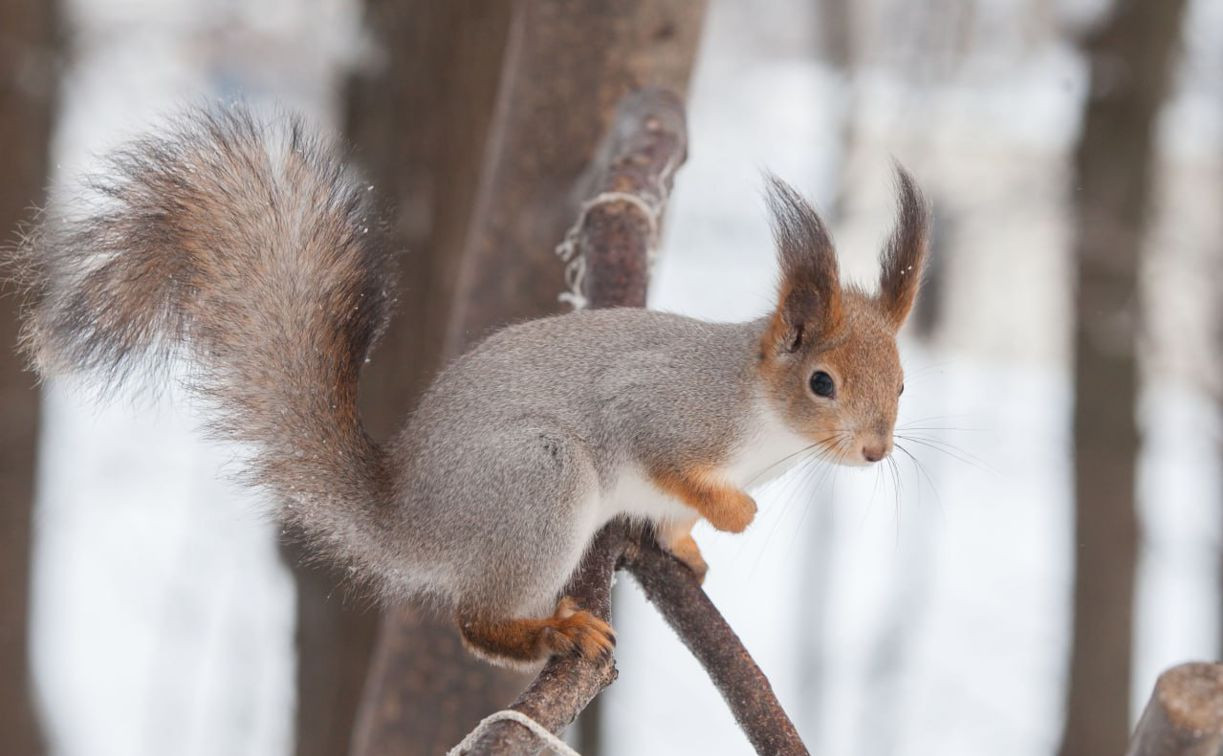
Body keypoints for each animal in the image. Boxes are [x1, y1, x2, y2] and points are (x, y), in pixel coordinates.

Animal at [9, 107, 929, 665]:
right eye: (821, 382)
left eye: (902, 386)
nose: (875, 450)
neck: (764, 431)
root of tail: (407, 519)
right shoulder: (662, 409)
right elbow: (667, 461)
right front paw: (733, 515)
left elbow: (673, 520)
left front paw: (692, 545)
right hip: (535, 481)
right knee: (474, 624)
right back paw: (552, 633)